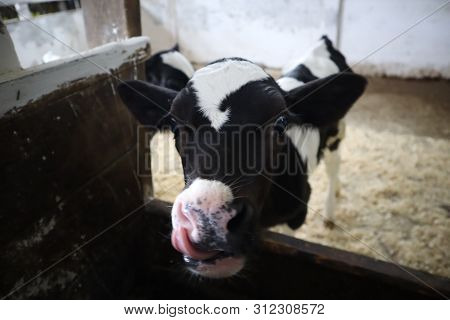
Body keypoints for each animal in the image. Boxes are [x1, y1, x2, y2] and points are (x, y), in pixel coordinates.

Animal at [118, 57, 366, 278]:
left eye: (280, 123)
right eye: (174, 125)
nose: (209, 220)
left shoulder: (298, 210)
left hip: (337, 135)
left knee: (334, 167)